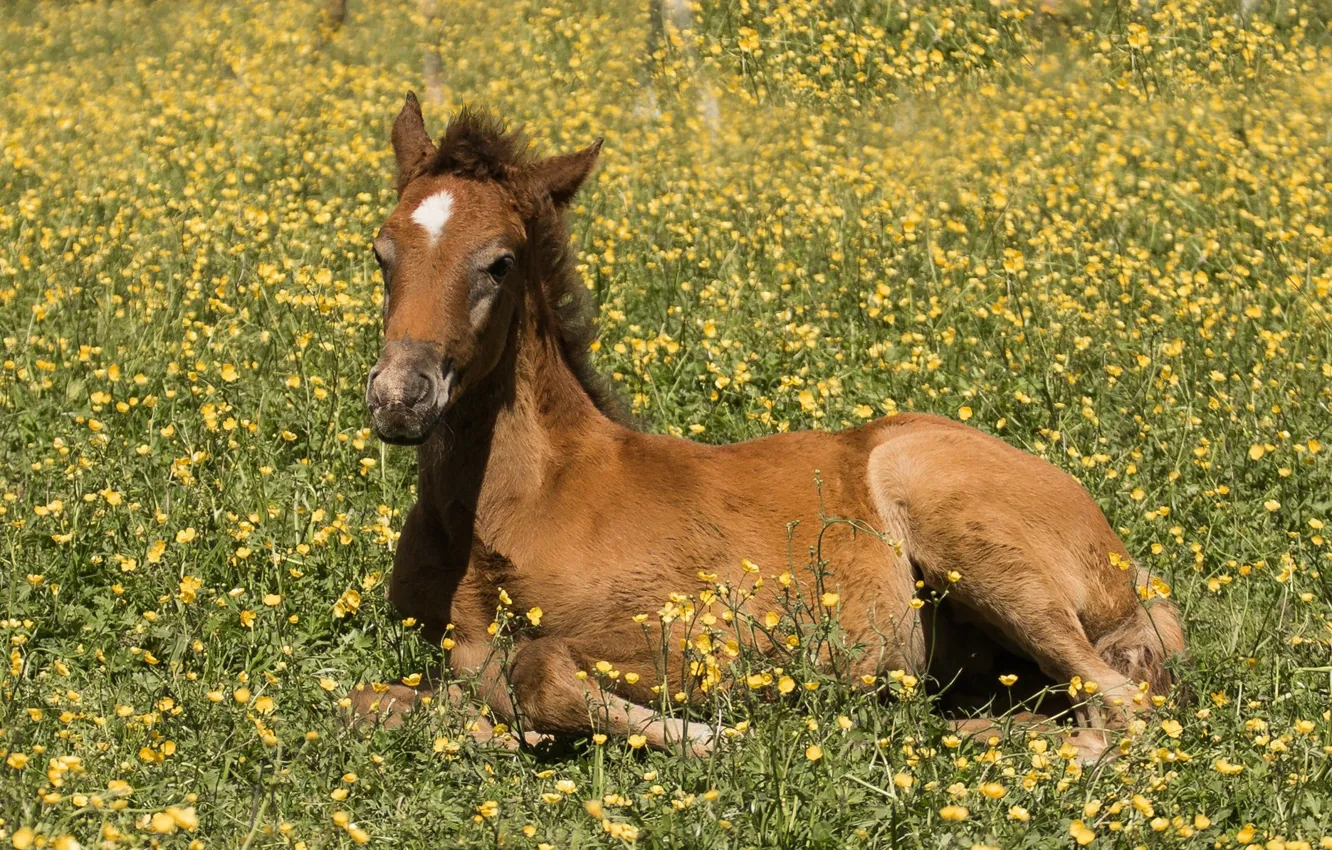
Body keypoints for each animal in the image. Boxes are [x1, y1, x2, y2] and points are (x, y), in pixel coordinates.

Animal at [353, 92, 1186, 760]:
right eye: (381, 251)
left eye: (499, 262)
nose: (400, 397)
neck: (510, 506)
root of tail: (1126, 563)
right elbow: (371, 702)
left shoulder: (710, 636)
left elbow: (531, 669)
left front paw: (711, 737)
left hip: (959, 523)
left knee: (1122, 708)